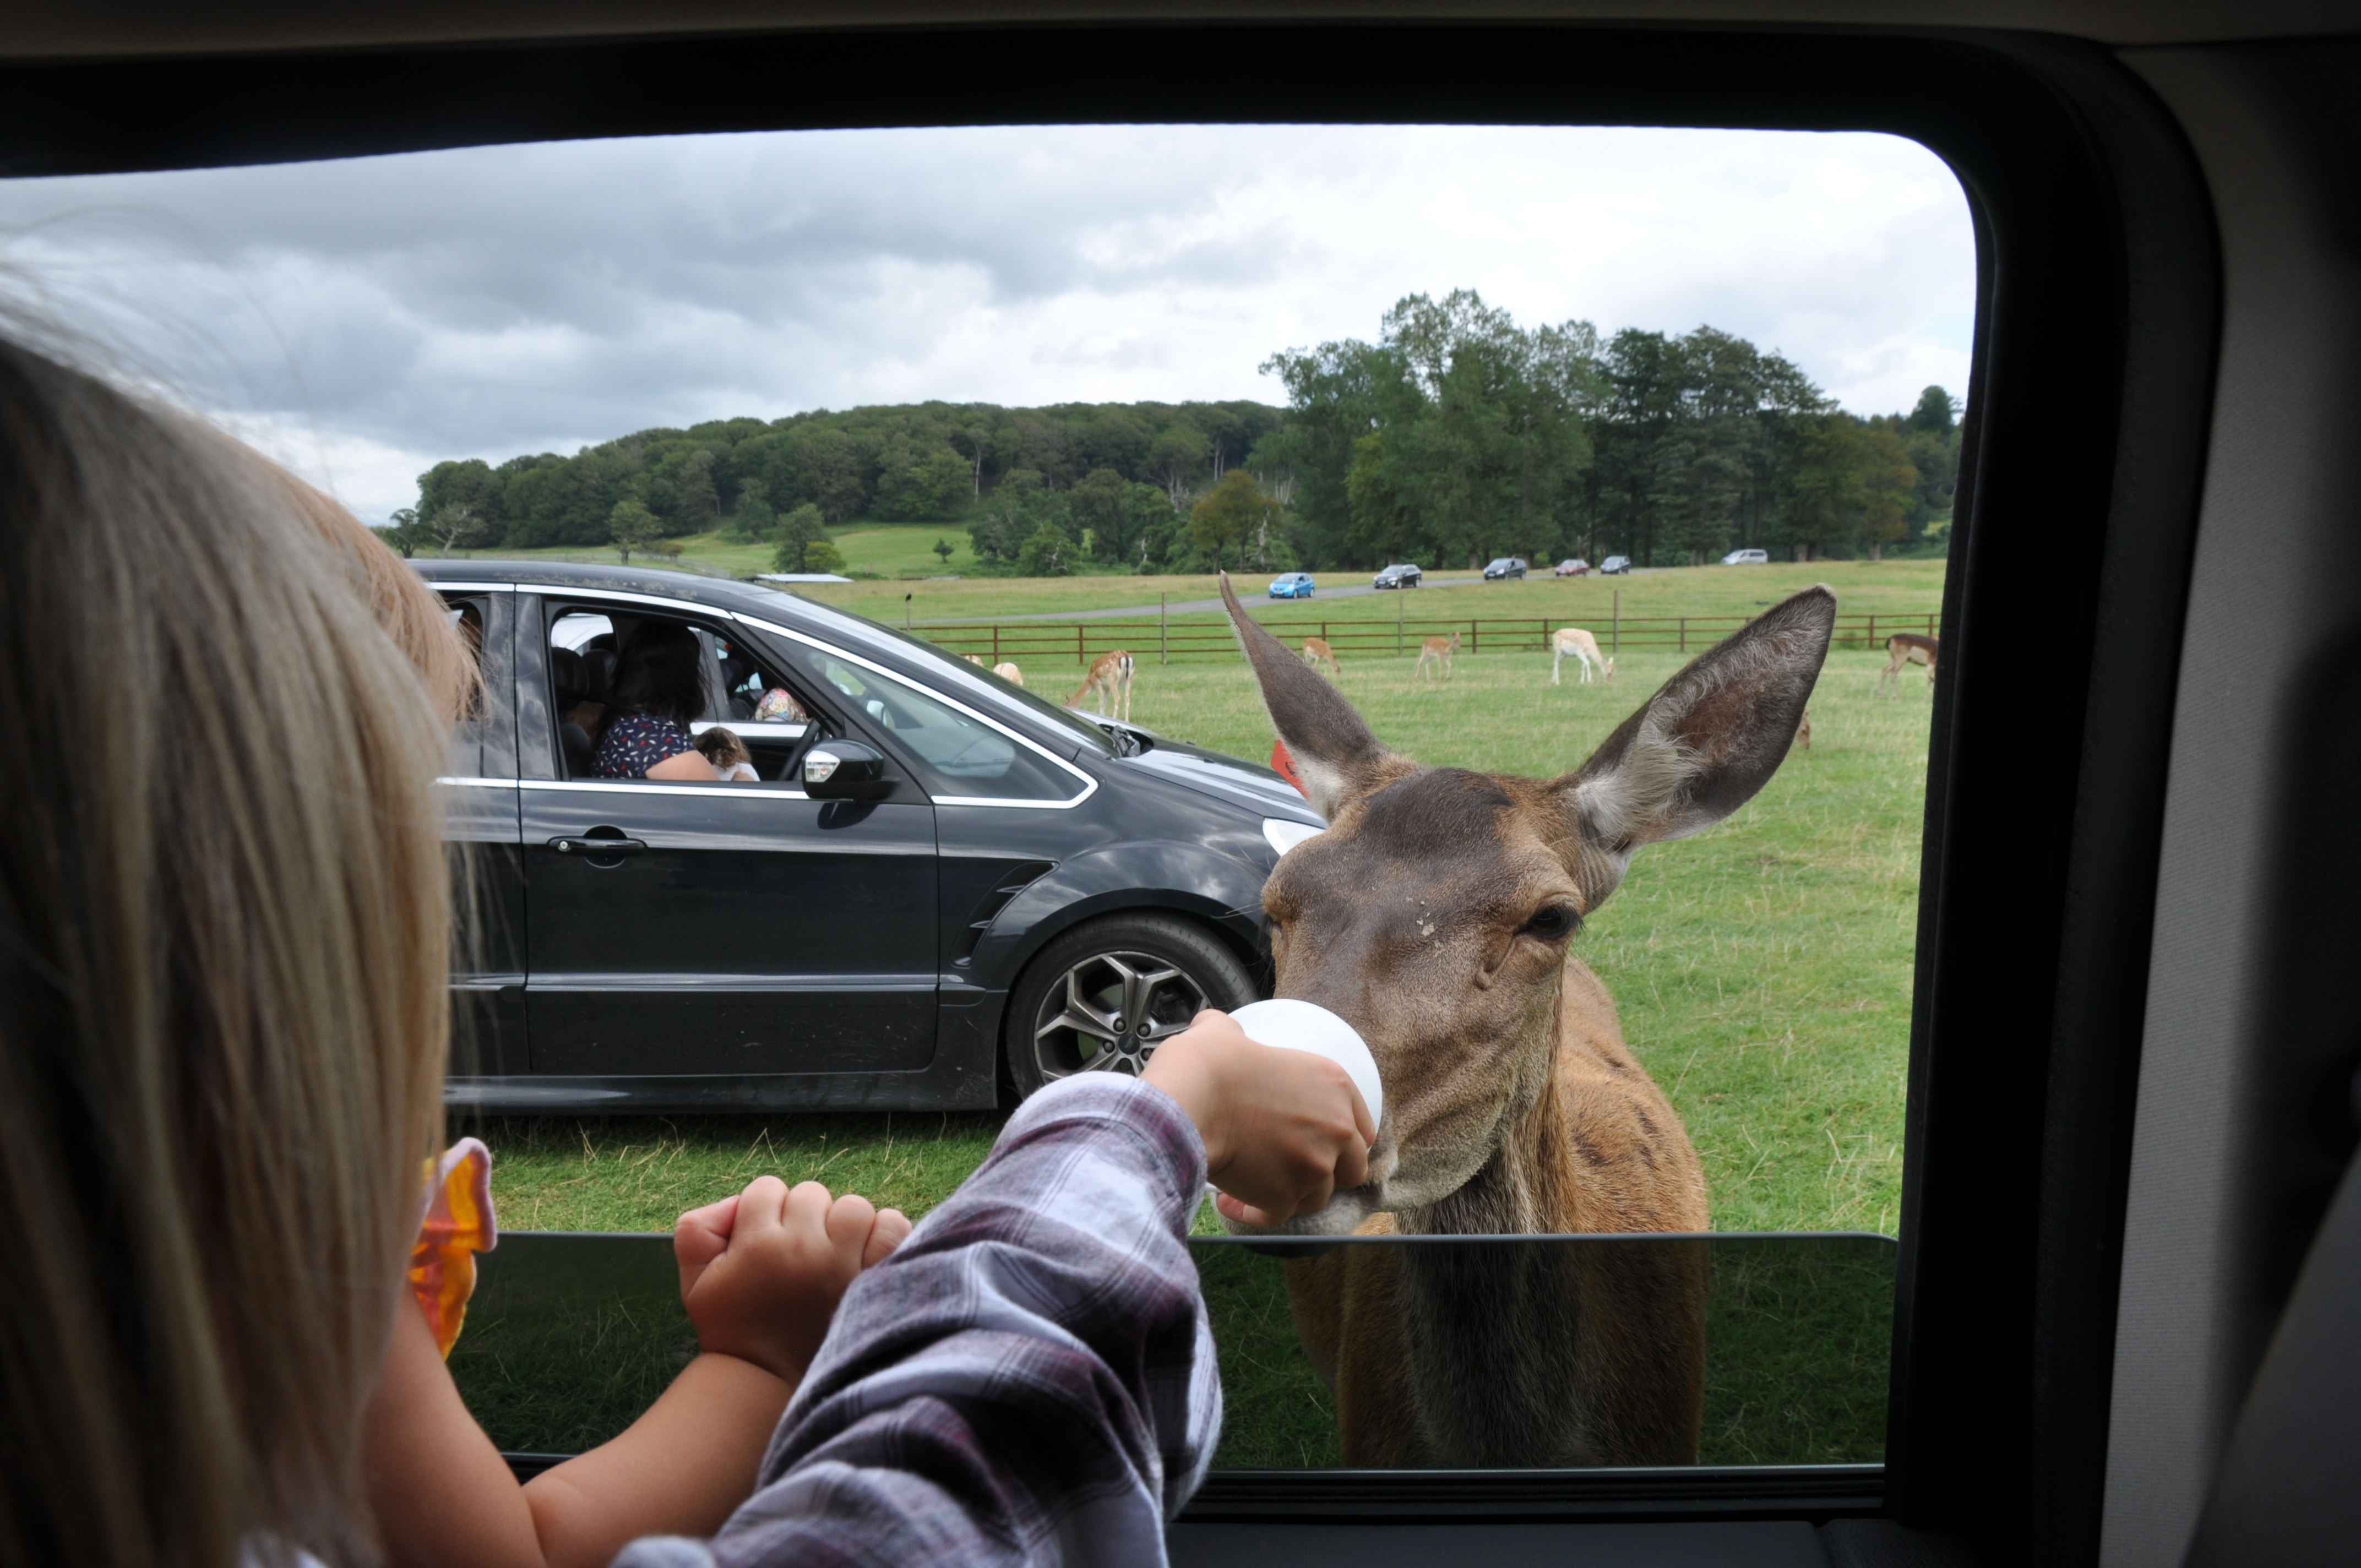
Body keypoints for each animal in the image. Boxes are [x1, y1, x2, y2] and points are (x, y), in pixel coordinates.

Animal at [1076, 647, 1138, 722]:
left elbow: (1101, 702)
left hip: (1112, 679)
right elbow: (1105, 702)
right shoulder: (1107, 688)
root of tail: (1126, 655)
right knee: (1127, 698)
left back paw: (1114, 718)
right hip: (1130, 678)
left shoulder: (1097, 683)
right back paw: (1127, 721)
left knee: (1118, 698)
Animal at [1539, 623, 1614, 684]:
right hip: (1558, 649)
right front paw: (1589, 681)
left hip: (1565, 654)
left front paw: (1582, 682)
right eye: (1609, 673)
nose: (1610, 682)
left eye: (1613, 672)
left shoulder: (1586, 656)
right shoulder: (1579, 652)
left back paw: (1553, 681)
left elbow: (1583, 666)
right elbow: (1588, 663)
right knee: (1556, 661)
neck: (1591, 650)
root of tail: (1554, 634)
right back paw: (1557, 682)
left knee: (1557, 662)